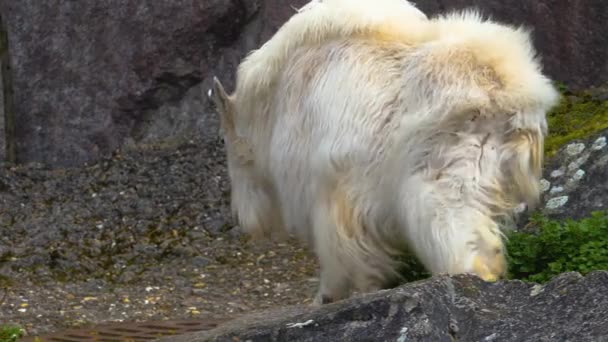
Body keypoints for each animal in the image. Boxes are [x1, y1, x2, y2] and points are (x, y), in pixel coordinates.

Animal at [210, 0, 560, 304]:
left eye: (225, 142)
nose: (242, 217)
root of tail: (511, 90)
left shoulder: (327, 182)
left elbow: (343, 248)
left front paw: (330, 294)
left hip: (444, 162)